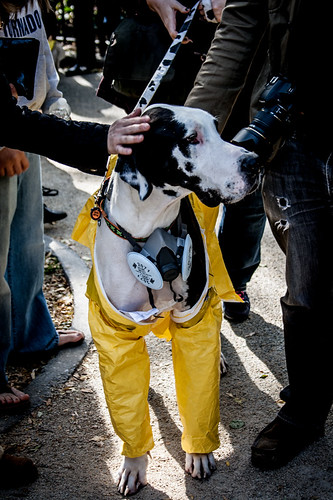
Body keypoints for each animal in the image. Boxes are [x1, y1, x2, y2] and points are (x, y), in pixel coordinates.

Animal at [91, 103, 260, 494]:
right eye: (190, 139)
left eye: (217, 129)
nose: (255, 161)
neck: (148, 234)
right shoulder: (116, 331)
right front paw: (134, 464)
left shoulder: (192, 314)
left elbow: (199, 389)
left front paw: (199, 453)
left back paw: (220, 359)